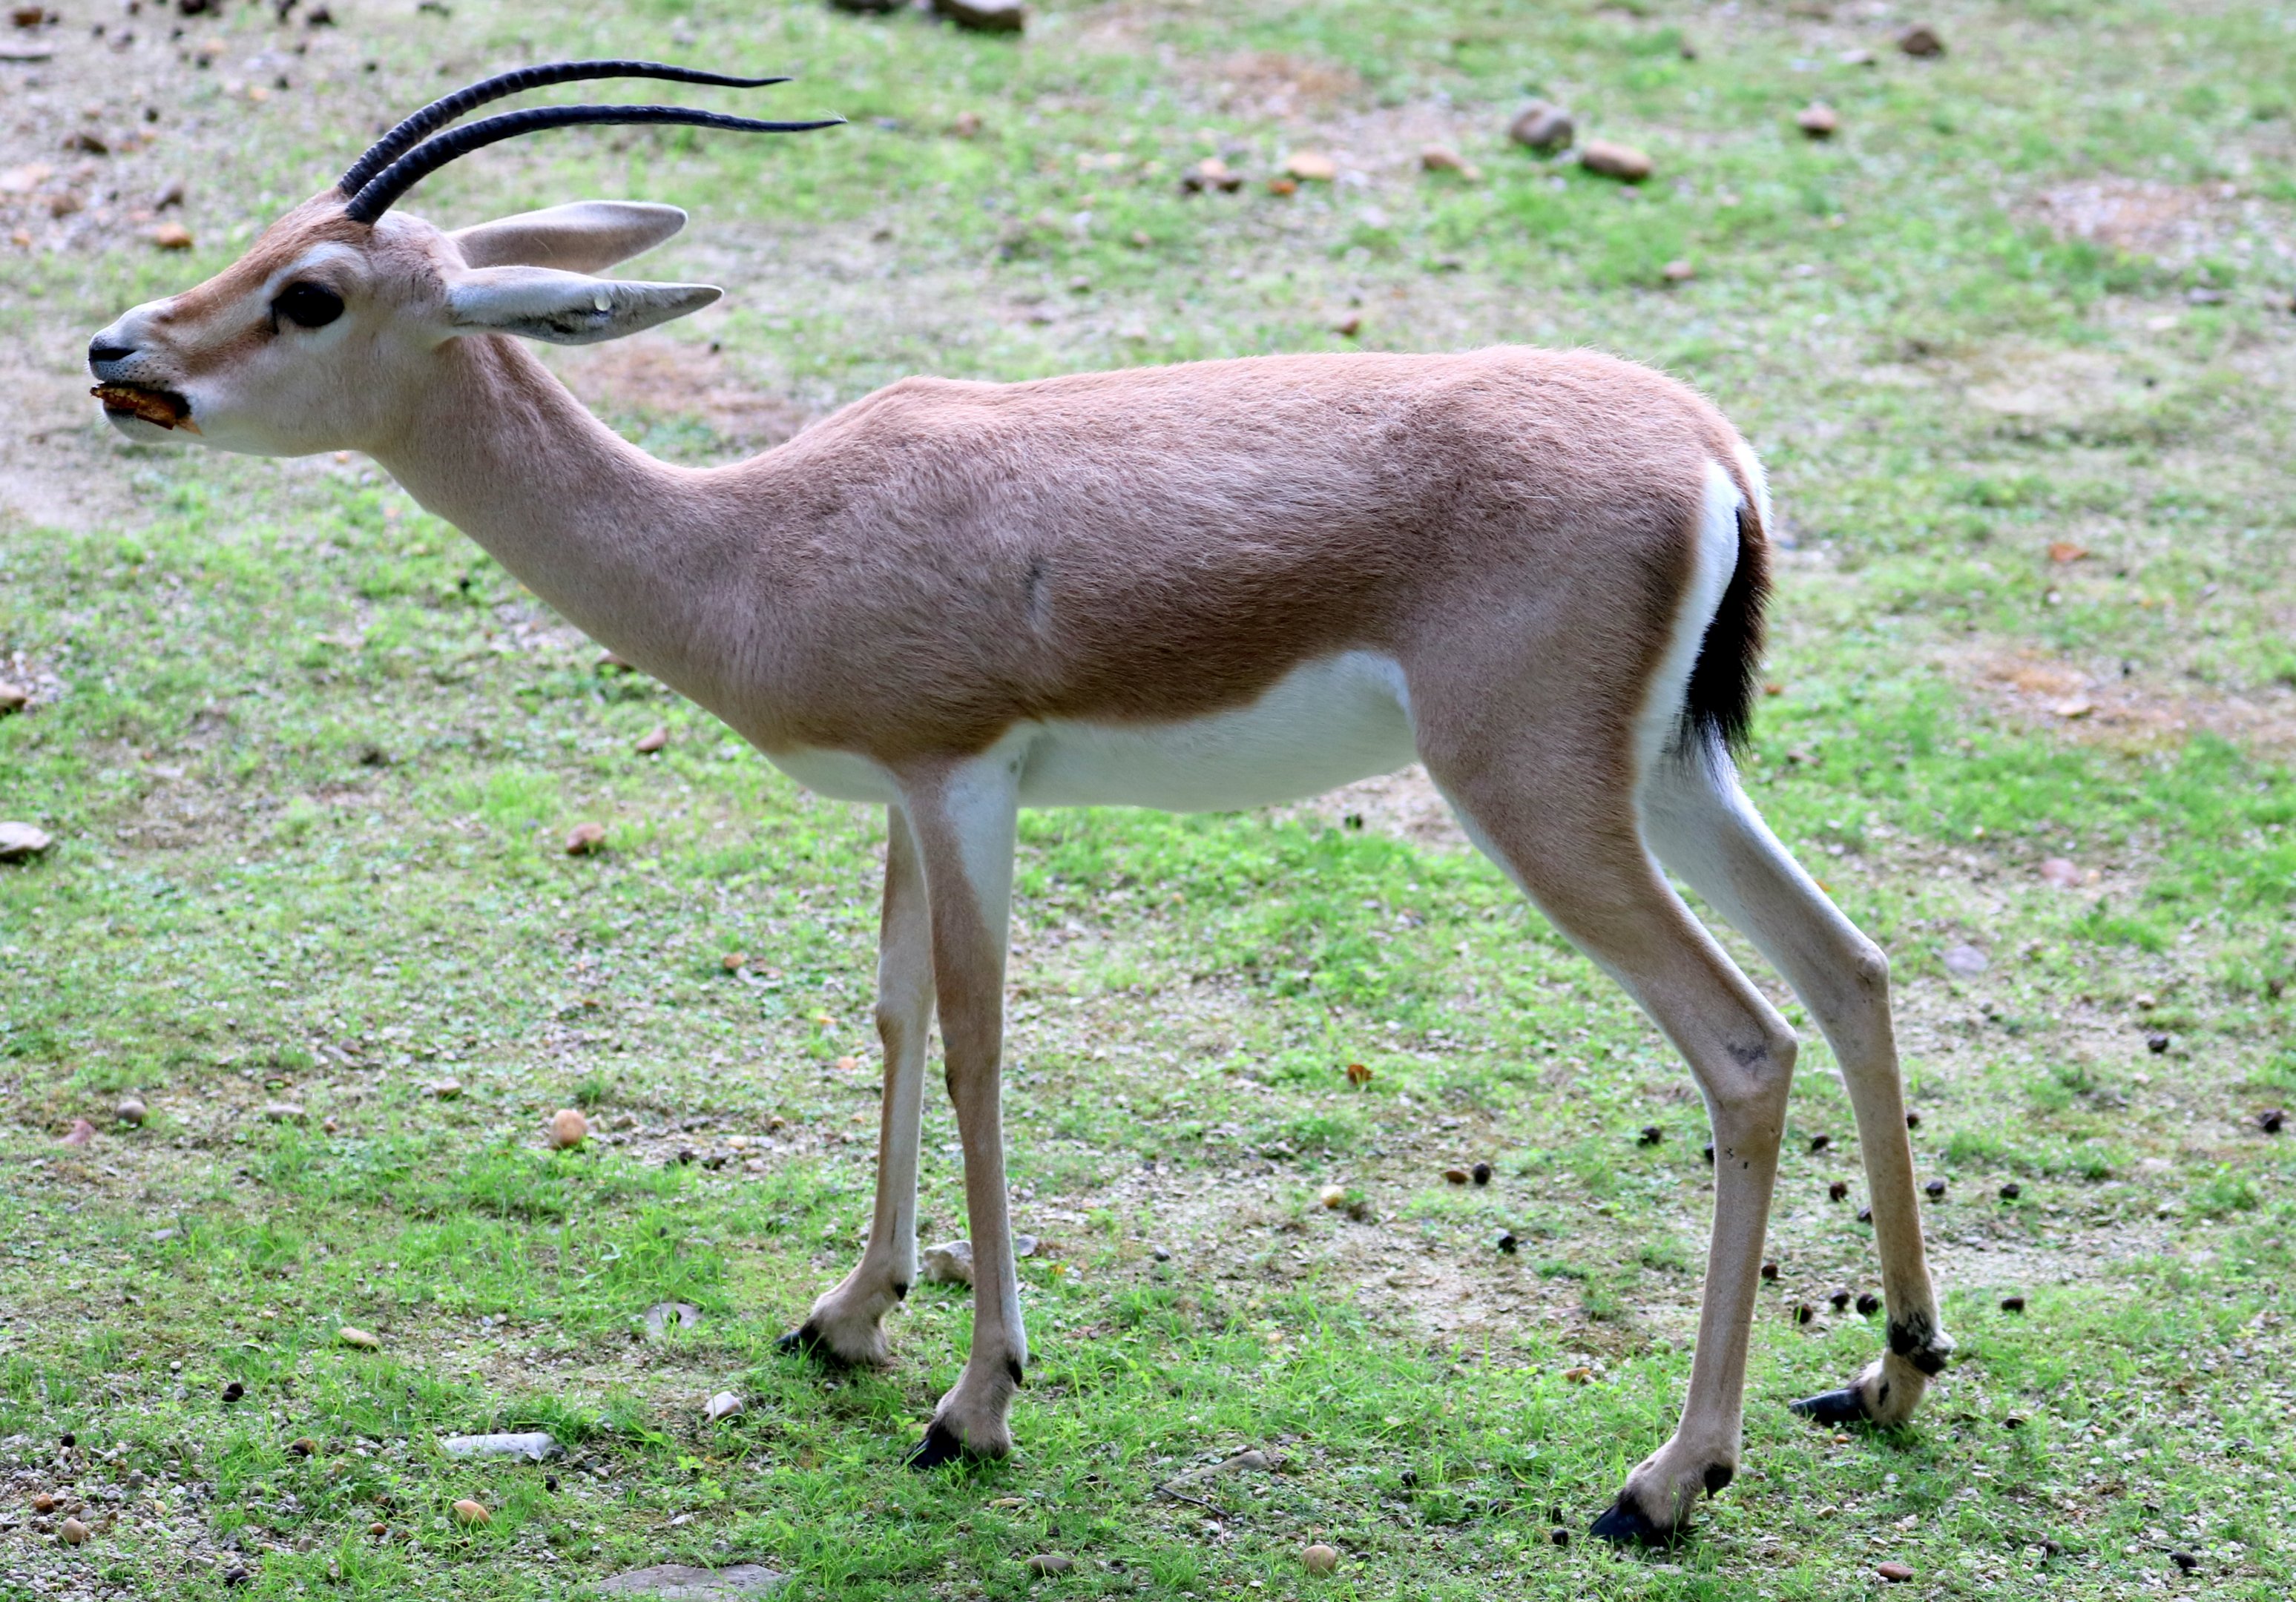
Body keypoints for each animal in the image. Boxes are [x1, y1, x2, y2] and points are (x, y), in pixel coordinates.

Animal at [86, 62, 1952, 1543]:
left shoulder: (963, 782)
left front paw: (974, 1403)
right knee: (1851, 969)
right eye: (259, 242)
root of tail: (1709, 454)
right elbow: (897, 1014)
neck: (758, 546)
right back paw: (1889, 1375)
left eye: (311, 295)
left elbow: (979, 1043)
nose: (116, 346)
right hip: (1669, 774)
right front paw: (847, 1317)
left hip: (1540, 800)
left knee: (1745, 1043)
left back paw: (1665, 1480)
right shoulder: (901, 803)